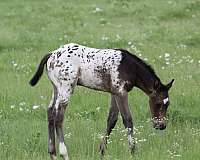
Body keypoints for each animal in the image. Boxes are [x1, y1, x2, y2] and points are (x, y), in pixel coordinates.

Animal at [29, 42, 173, 159]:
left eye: (168, 104)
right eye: (158, 103)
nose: (161, 126)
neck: (128, 67)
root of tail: (52, 54)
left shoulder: (114, 93)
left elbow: (112, 120)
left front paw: (102, 151)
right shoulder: (121, 92)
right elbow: (127, 120)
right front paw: (133, 151)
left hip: (56, 88)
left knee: (50, 112)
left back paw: (52, 153)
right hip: (66, 88)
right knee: (58, 117)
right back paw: (64, 154)